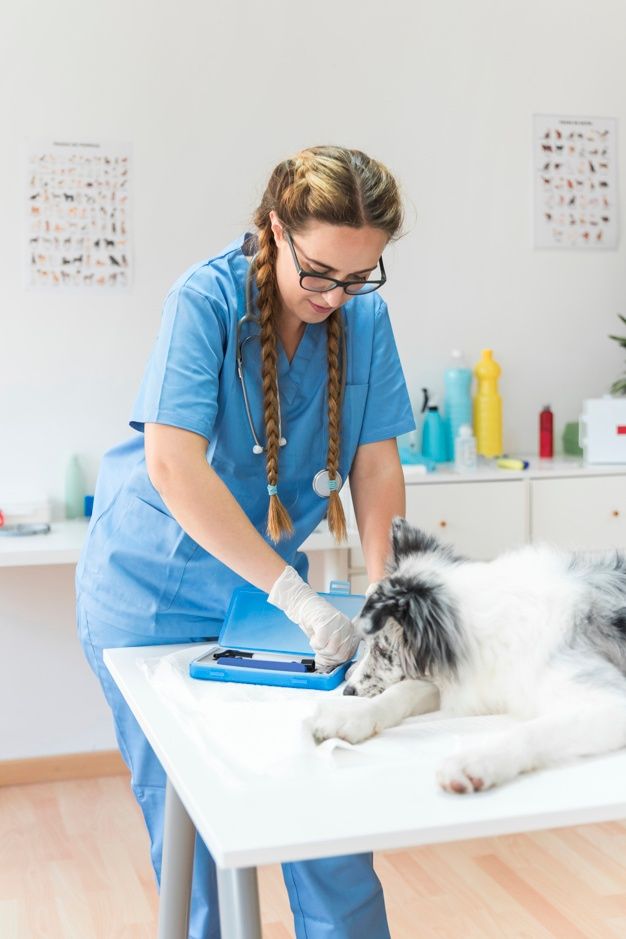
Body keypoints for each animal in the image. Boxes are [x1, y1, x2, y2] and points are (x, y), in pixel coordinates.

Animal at [312, 516, 626, 792]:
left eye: (381, 649)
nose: (347, 691)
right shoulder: (459, 676)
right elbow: (401, 693)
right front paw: (349, 718)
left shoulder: (611, 701)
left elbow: (532, 730)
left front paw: (474, 762)